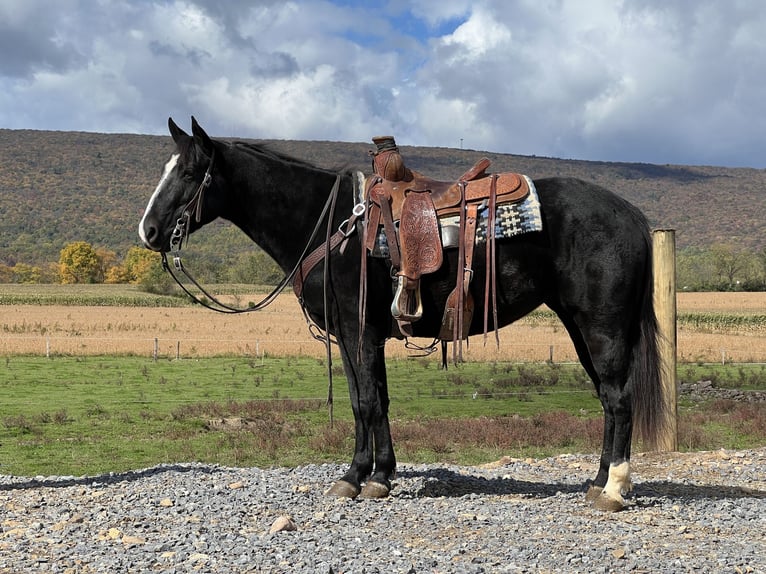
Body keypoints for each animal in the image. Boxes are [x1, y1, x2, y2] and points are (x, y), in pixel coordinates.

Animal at [141, 117, 668, 512]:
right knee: (606, 398)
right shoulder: (355, 336)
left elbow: (367, 402)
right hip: (580, 327)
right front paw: (370, 475)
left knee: (619, 397)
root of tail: (631, 214)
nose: (148, 231)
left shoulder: (359, 334)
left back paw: (614, 489)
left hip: (603, 327)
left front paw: (363, 477)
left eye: (189, 173)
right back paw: (598, 481)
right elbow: (370, 401)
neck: (330, 226)